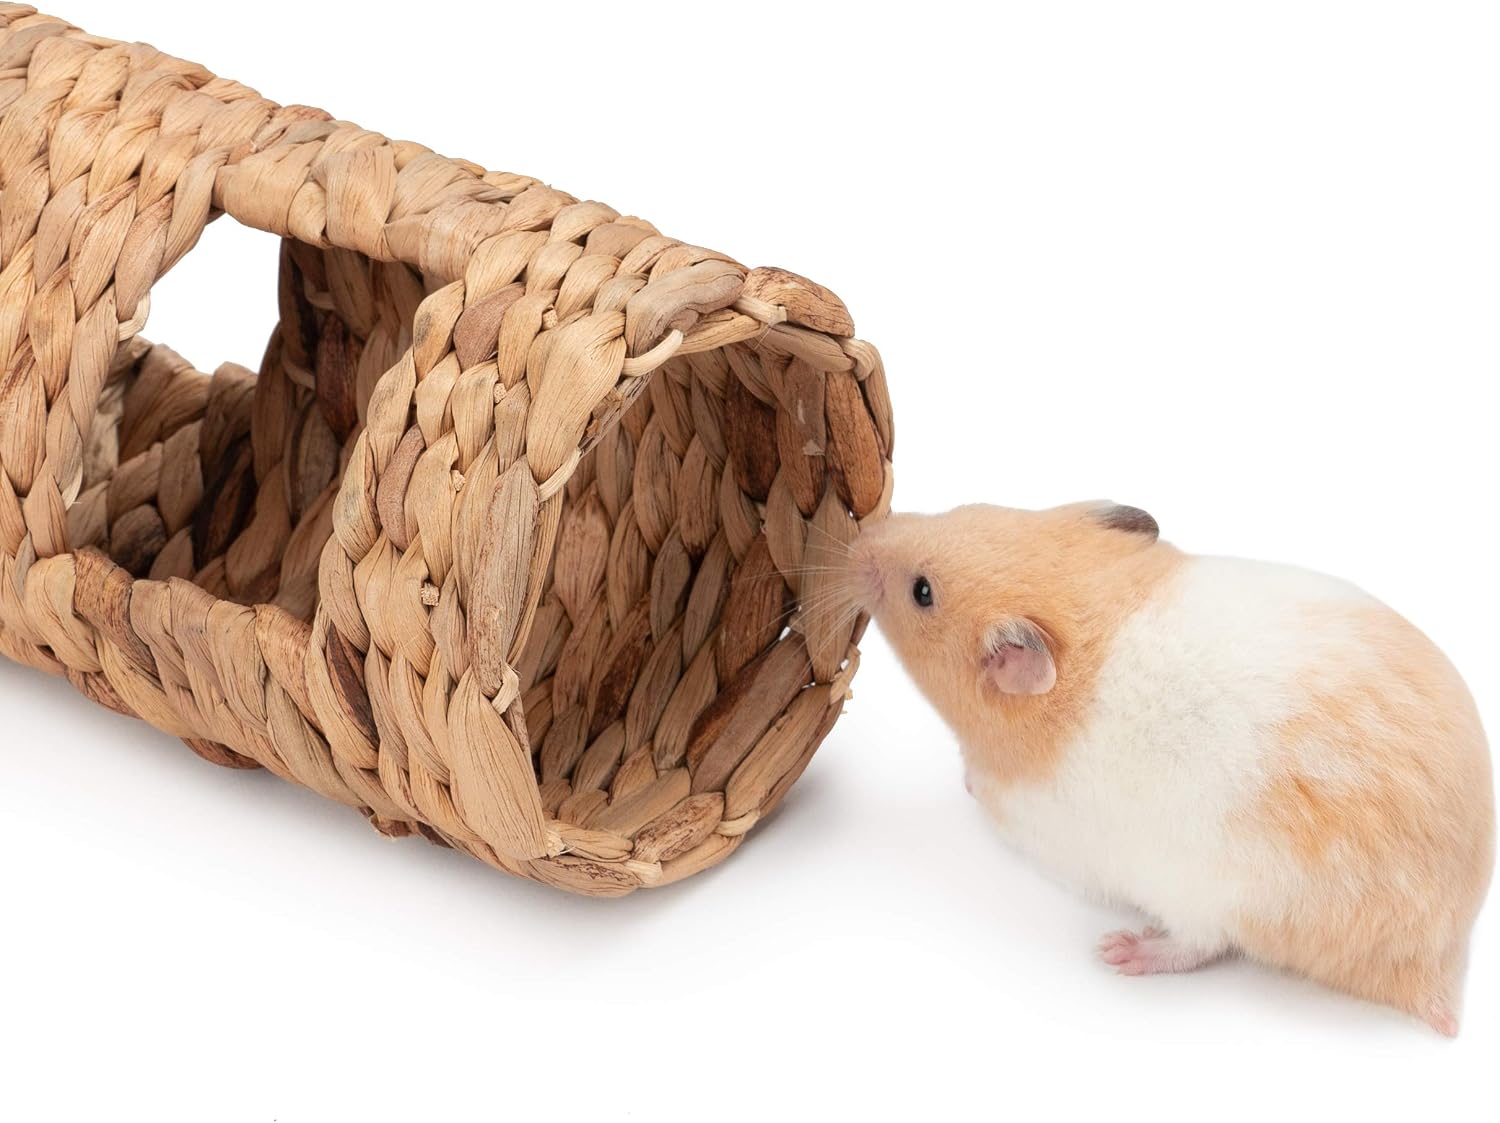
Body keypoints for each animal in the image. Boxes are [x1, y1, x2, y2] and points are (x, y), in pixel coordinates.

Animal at [840, 501, 1493, 1035]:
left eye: (923, 592)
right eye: (964, 510)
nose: (860, 536)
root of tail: (1439, 963)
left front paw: (968, 782)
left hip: (1210, 897)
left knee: (1200, 947)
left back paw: (1122, 952)